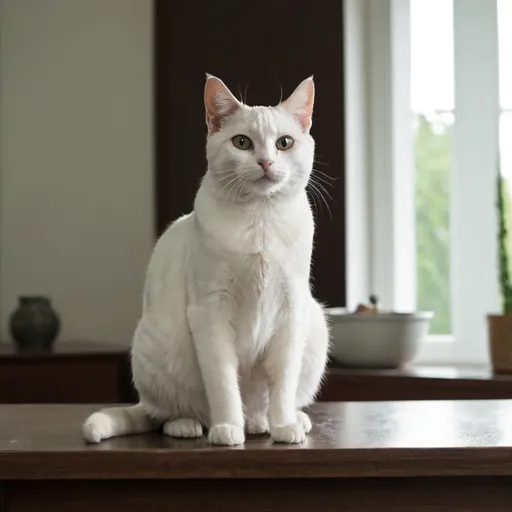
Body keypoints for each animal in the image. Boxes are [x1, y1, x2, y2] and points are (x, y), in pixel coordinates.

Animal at [82, 74, 330, 446]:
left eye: (284, 143)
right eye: (242, 142)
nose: (266, 162)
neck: (260, 220)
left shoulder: (292, 311)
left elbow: (283, 384)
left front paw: (284, 426)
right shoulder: (210, 311)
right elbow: (224, 384)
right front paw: (227, 428)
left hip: (315, 328)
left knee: (263, 406)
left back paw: (276, 422)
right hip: (156, 347)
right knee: (166, 413)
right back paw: (190, 425)